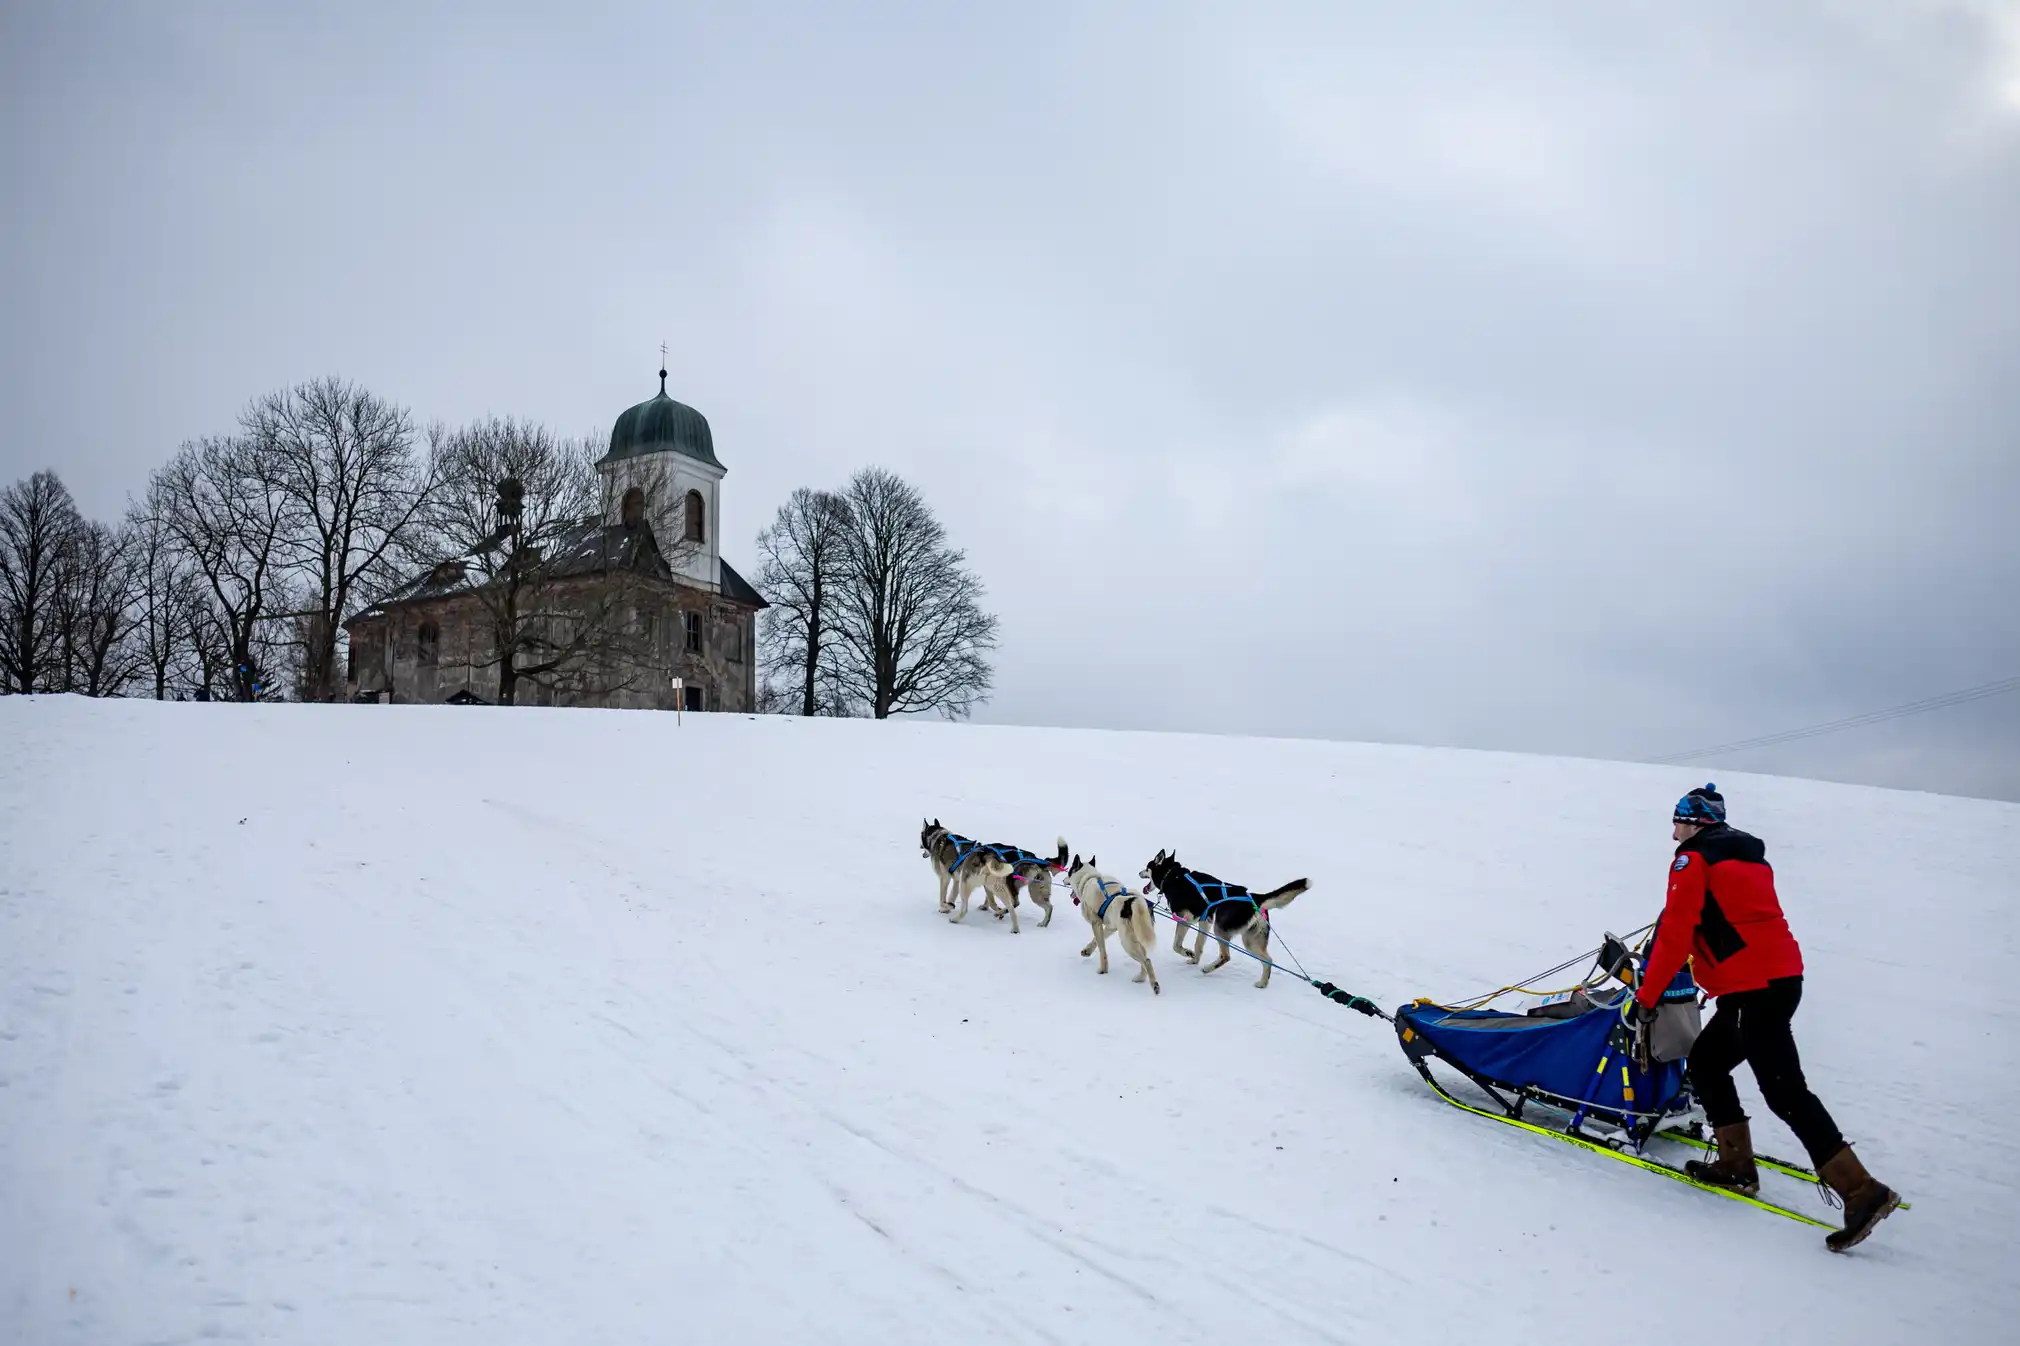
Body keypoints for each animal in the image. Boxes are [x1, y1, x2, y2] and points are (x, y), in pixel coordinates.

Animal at [1066, 852, 1163, 990]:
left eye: (1069, 871)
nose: (1064, 879)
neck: (1089, 878)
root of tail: (1133, 901)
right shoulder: (1111, 927)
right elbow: (1095, 941)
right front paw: (1087, 950)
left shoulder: (1096, 923)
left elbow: (1102, 949)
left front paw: (1103, 970)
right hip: (1139, 937)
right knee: (1145, 958)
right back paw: (1140, 978)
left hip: (1127, 943)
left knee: (1147, 961)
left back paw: (1154, 985)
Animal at [1139, 848, 1308, 986]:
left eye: (1147, 868)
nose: (1139, 873)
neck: (1173, 876)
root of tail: (1254, 897)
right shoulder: (1205, 921)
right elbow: (1198, 945)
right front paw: (1194, 959)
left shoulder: (1185, 919)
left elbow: (1176, 945)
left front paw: (1188, 953)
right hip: (1250, 940)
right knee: (1268, 961)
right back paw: (1262, 983)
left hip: (1220, 929)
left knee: (1226, 956)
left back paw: (1208, 968)